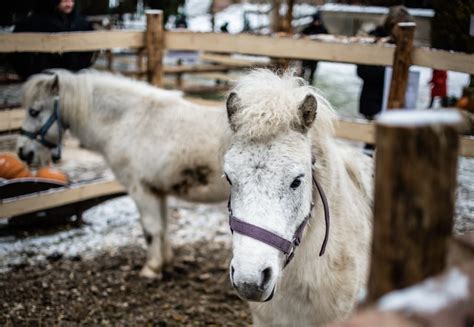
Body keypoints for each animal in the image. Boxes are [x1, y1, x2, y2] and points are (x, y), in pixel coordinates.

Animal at [15, 70, 230, 278]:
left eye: (33, 111)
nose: (23, 152)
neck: (130, 122)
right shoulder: (157, 191)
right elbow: (163, 227)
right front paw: (166, 262)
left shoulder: (141, 190)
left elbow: (151, 229)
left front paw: (151, 269)